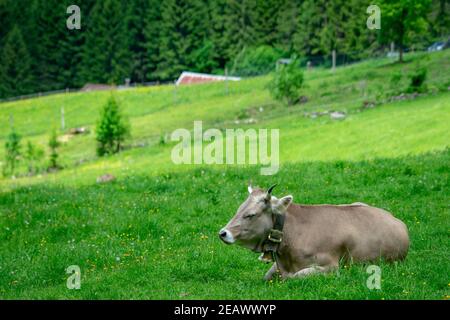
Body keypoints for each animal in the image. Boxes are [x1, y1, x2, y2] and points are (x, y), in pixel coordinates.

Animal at [220, 185, 410, 280]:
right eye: (239, 209)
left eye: (250, 215)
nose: (223, 233)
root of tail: (395, 219)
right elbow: (266, 276)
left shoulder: (331, 267)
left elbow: (296, 276)